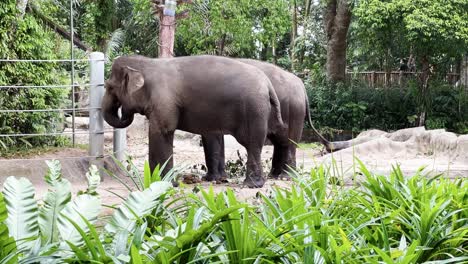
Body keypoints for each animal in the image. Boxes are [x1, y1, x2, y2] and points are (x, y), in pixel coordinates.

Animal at [101, 55, 286, 188]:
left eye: (109, 87)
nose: (124, 110)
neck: (148, 62)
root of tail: (268, 85)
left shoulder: (164, 101)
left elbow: (162, 131)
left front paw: (159, 183)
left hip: (253, 110)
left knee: (252, 144)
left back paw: (251, 185)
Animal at [199, 59, 346, 182]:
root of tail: (302, 86)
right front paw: (220, 178)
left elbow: (210, 135)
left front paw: (209, 179)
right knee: (280, 141)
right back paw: (274, 176)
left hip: (294, 111)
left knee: (290, 142)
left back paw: (285, 177)